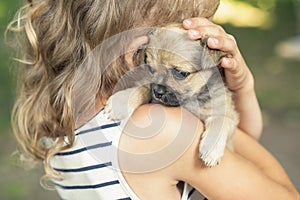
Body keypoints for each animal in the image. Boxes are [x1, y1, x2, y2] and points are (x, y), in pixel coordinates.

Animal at [104, 24, 238, 166]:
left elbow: (220, 120)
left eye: (180, 73)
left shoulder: (228, 115)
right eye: (151, 69)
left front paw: (211, 148)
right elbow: (142, 88)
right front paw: (121, 101)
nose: (157, 92)